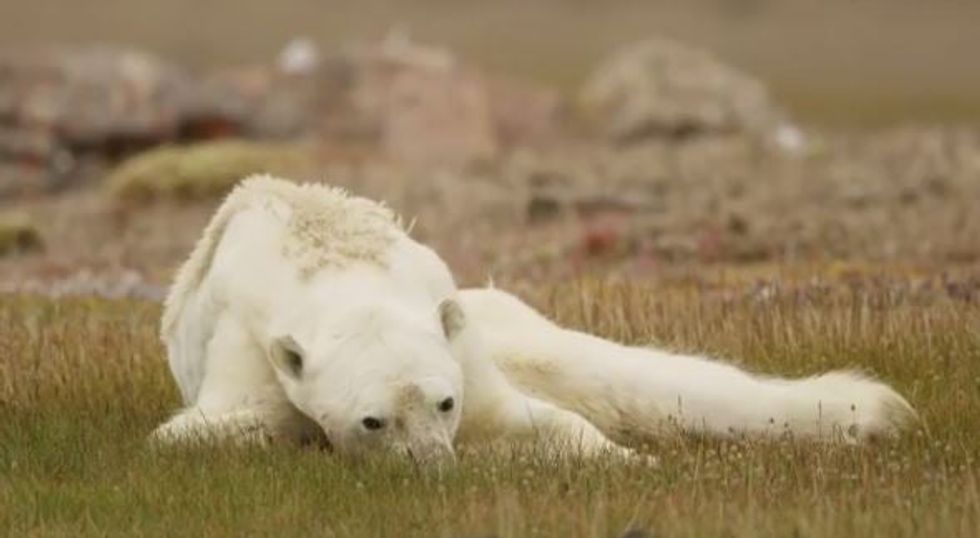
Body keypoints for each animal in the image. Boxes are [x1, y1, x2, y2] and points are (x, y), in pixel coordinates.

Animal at [152, 176, 625, 461]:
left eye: (445, 402)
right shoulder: (246, 344)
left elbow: (512, 415)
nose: (434, 465)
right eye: (373, 421)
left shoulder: (457, 340)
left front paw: (626, 458)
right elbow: (207, 427)